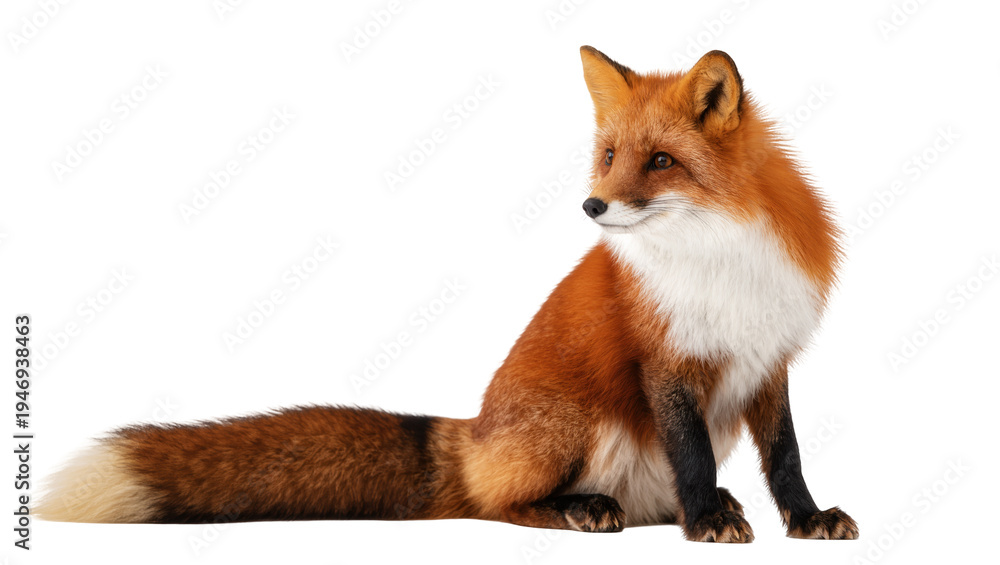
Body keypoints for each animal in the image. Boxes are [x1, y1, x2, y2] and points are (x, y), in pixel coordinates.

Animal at [39, 47, 859, 543]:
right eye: (608, 156)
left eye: (660, 161)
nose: (592, 206)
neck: (716, 260)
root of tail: (471, 433)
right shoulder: (665, 363)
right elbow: (694, 457)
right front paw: (706, 521)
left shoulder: (767, 358)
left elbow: (785, 456)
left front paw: (806, 518)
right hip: (573, 426)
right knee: (498, 507)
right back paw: (585, 508)